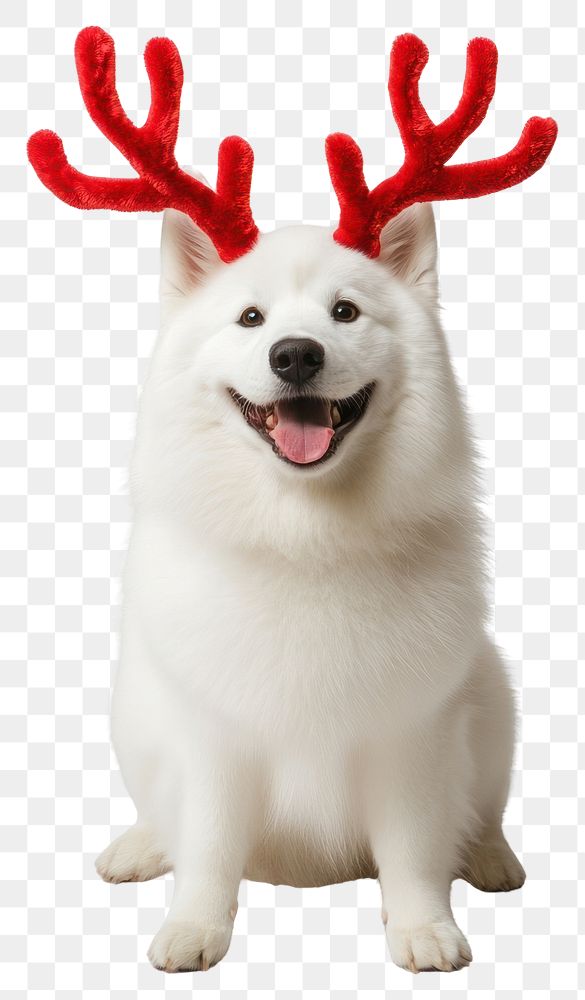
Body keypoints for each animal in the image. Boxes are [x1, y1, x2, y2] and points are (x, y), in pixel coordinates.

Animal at [94, 199, 524, 972]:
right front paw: (194, 928)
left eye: (345, 312)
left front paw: (422, 928)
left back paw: (490, 857)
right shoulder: (212, 733)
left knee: (484, 810)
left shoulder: (410, 731)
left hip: (493, 699)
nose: (295, 354)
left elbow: (414, 848)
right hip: (132, 712)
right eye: (250, 318)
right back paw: (139, 847)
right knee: (161, 814)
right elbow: (207, 845)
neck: (305, 537)